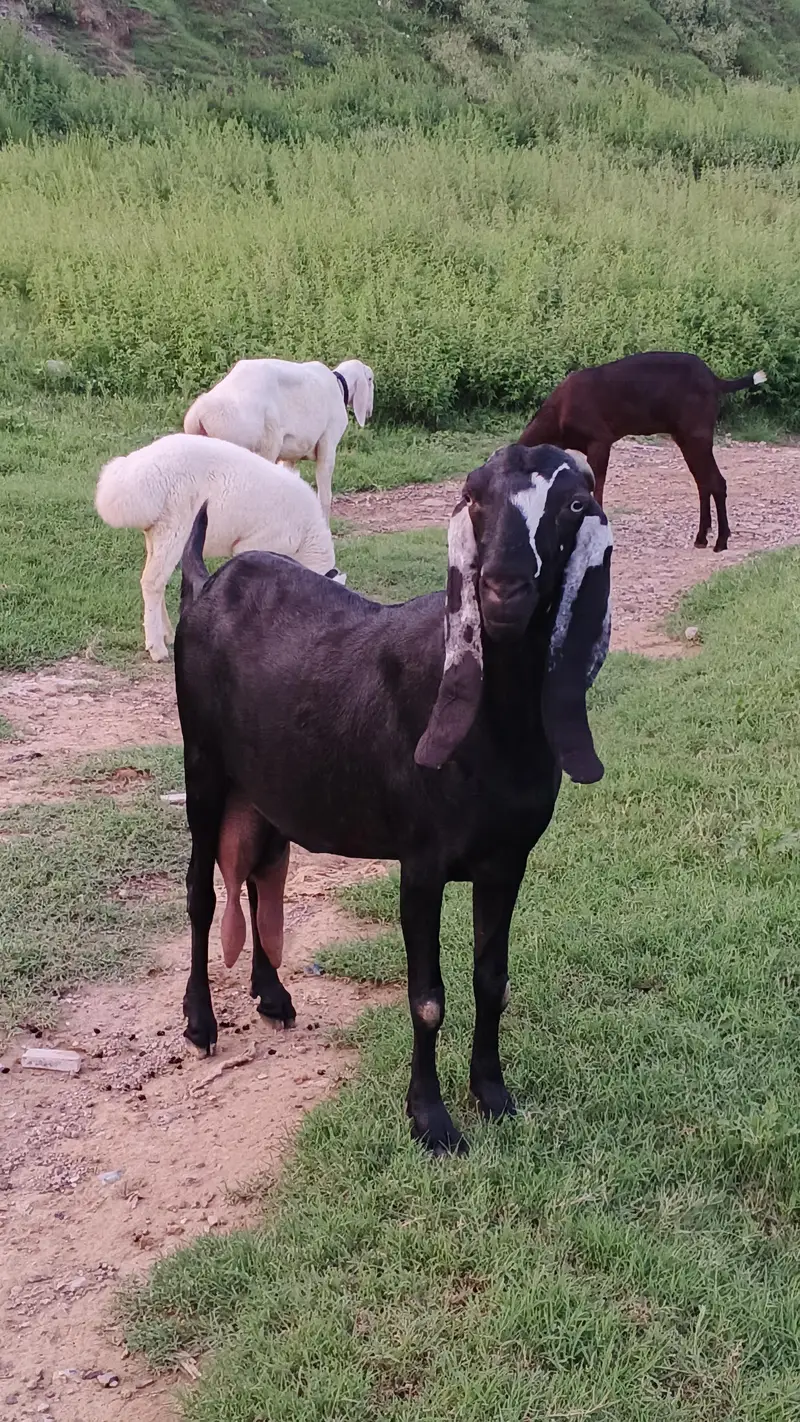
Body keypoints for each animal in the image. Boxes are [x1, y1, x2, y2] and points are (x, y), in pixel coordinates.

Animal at [95, 433, 342, 664]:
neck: (307, 540)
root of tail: (131, 475)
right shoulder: (257, 544)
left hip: (157, 532)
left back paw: (166, 633)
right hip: (174, 526)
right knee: (152, 582)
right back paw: (156, 647)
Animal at [174, 443, 613, 1156]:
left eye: (576, 503)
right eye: (475, 496)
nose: (504, 588)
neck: (494, 723)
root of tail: (207, 584)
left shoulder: (507, 860)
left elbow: (493, 981)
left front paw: (494, 1097)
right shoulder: (422, 862)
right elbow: (427, 997)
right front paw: (431, 1121)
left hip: (266, 789)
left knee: (262, 875)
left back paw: (272, 995)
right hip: (203, 764)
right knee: (199, 889)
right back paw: (200, 1021)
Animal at [183, 357, 375, 524]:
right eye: (371, 379)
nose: (369, 412)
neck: (340, 386)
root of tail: (199, 413)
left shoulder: (290, 456)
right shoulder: (328, 443)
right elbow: (325, 496)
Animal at [519, 352, 767, 552]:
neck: (559, 411)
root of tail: (714, 379)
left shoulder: (600, 443)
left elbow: (597, 490)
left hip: (697, 437)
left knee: (716, 482)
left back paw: (721, 541)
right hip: (686, 440)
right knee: (704, 483)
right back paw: (702, 537)